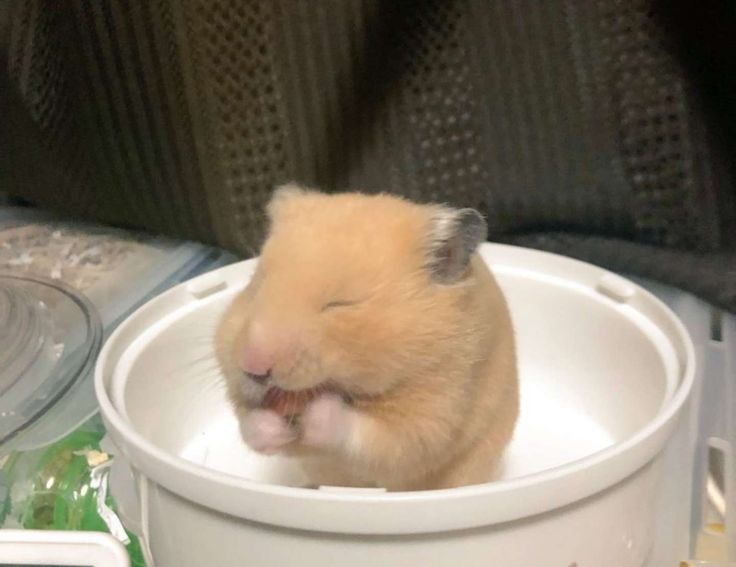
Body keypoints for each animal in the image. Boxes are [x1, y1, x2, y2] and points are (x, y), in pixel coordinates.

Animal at [216, 184, 518, 491]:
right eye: (257, 286)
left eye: (339, 304)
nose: (253, 368)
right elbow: (249, 423)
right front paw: (268, 425)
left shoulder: (439, 406)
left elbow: (379, 437)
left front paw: (318, 412)